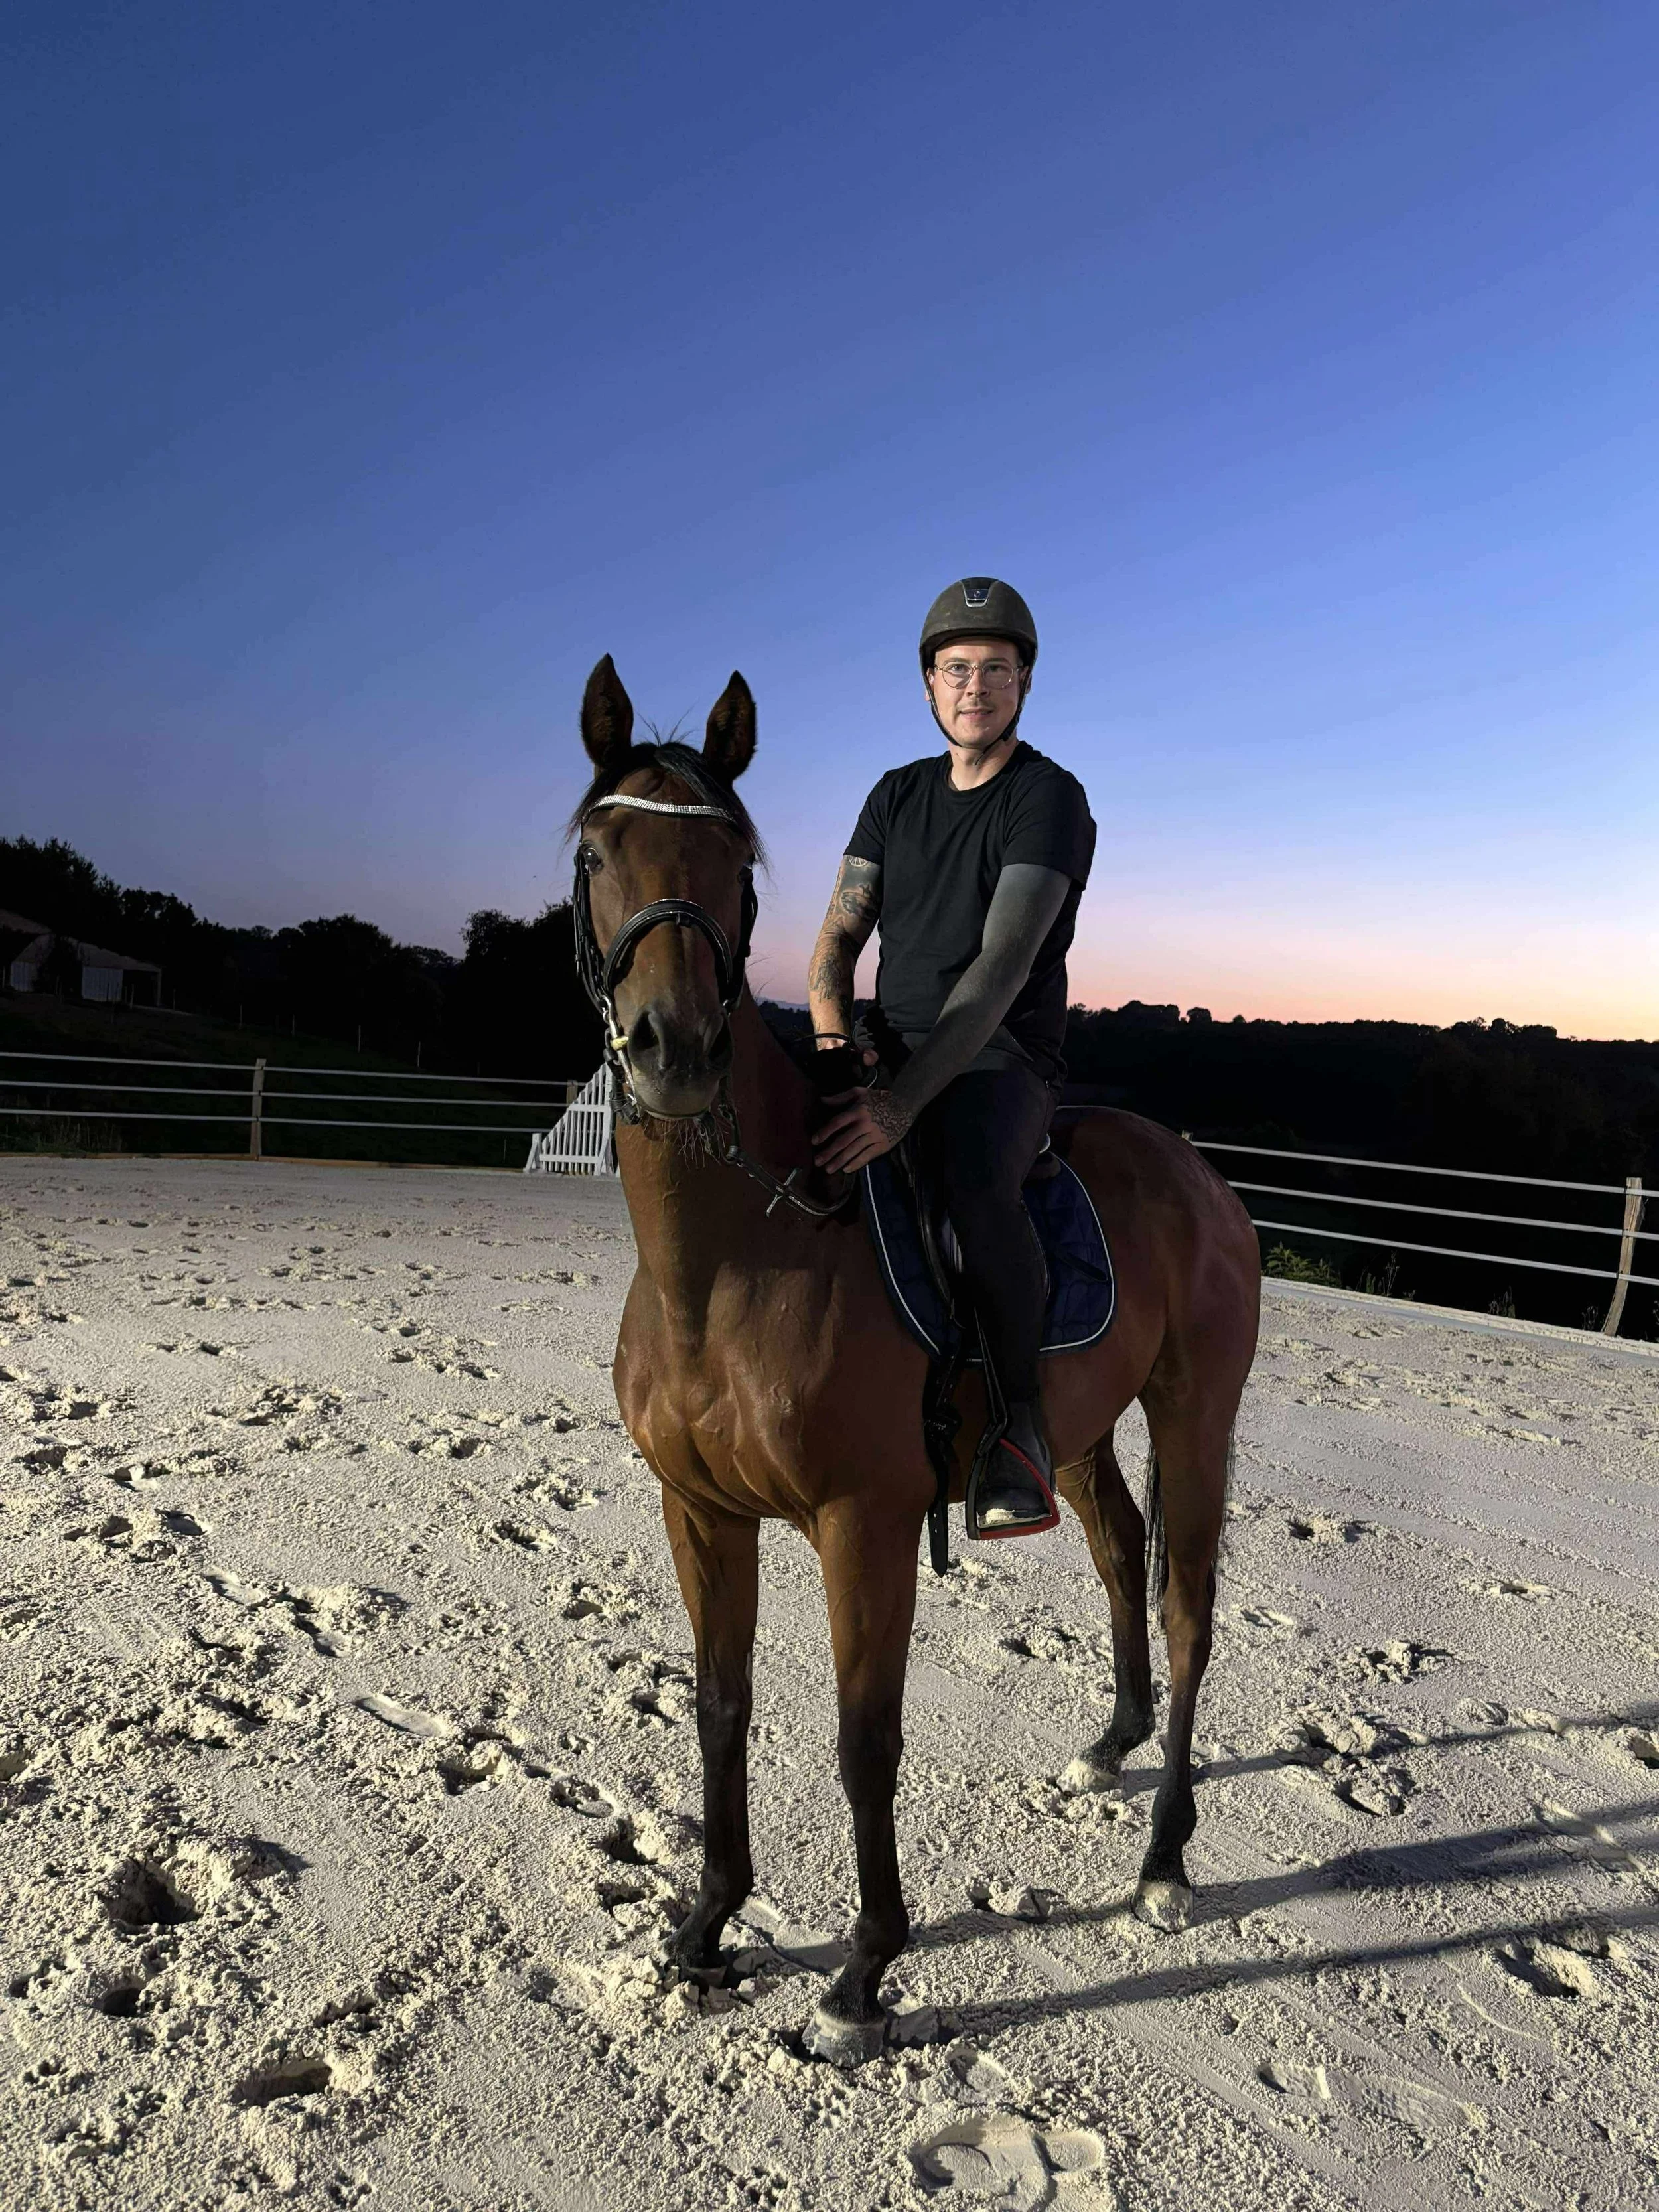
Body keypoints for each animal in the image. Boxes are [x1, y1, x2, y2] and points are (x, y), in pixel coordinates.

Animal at [570, 655, 1261, 2064]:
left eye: (738, 866)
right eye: (598, 849)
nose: (675, 1051)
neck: (742, 1251)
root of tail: (1199, 1175)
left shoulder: (866, 1522)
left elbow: (862, 1735)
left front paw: (863, 1970)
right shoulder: (698, 1509)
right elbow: (721, 1705)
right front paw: (706, 1924)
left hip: (1195, 1416)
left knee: (1188, 1607)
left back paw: (1166, 1859)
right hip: (1078, 1430)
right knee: (1119, 1550)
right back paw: (1111, 1744)